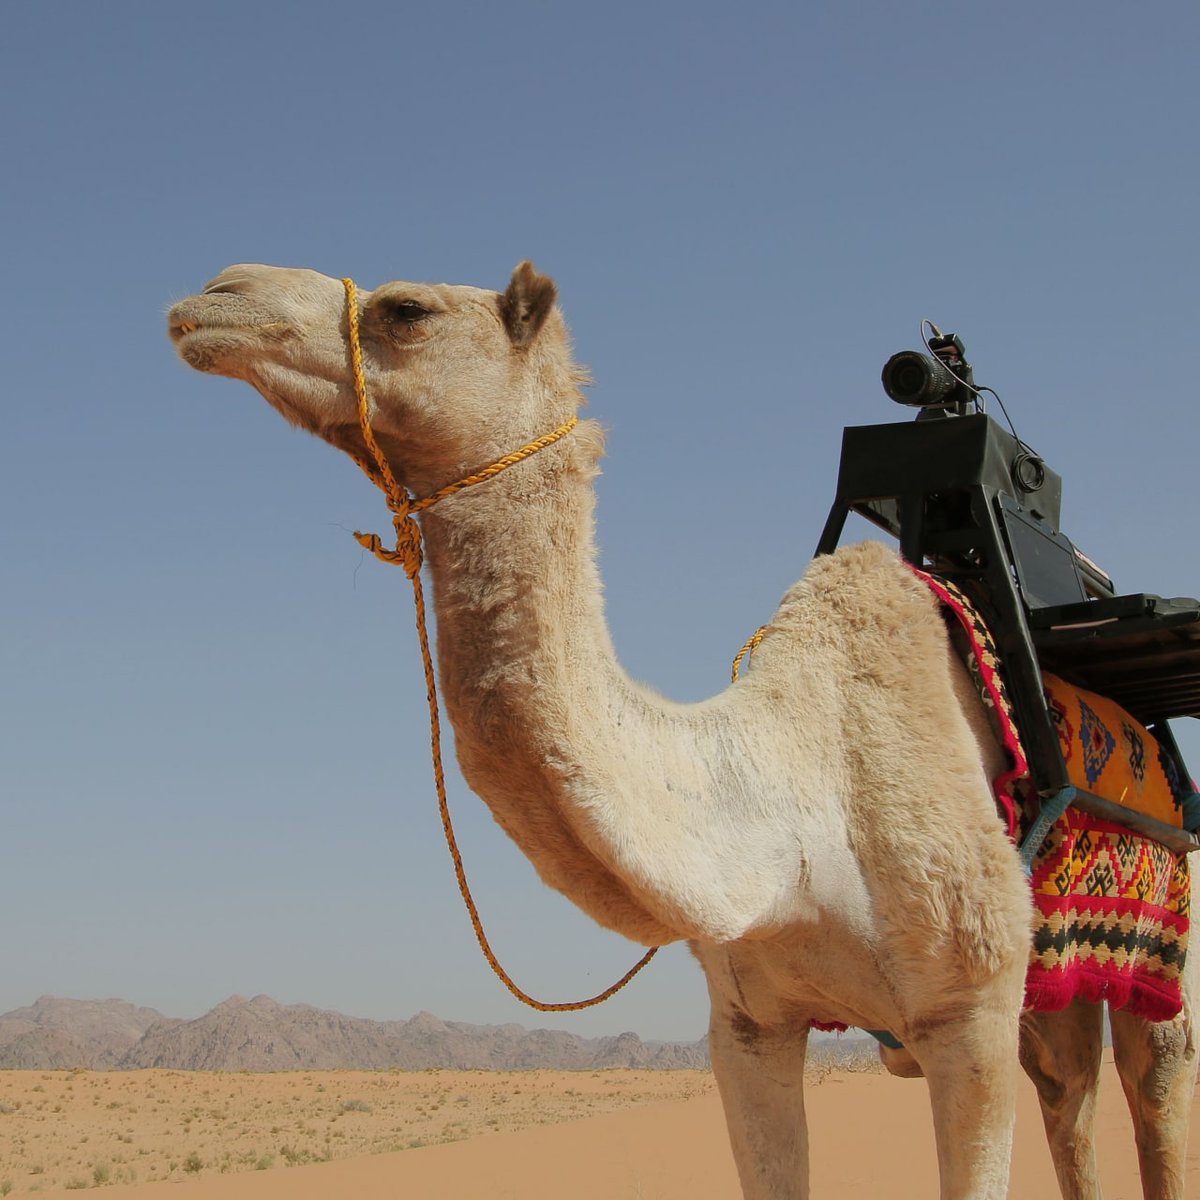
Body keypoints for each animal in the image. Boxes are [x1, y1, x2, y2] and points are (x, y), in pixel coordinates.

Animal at [168, 261, 1197, 1199]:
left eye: (406, 309)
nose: (213, 295)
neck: (789, 817)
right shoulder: (748, 1026)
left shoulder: (968, 1007)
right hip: (1054, 988)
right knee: (1070, 1095)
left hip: (1158, 962)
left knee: (1152, 1089)